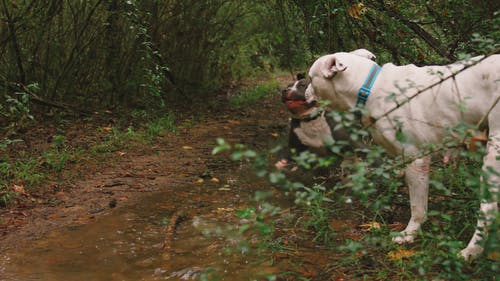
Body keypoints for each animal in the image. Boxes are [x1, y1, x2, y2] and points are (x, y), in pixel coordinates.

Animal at [306, 47, 498, 258]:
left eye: (310, 78)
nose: (302, 92)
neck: (371, 88)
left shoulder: (417, 161)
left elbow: (417, 206)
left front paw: (410, 233)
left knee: (488, 208)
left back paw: (472, 250)